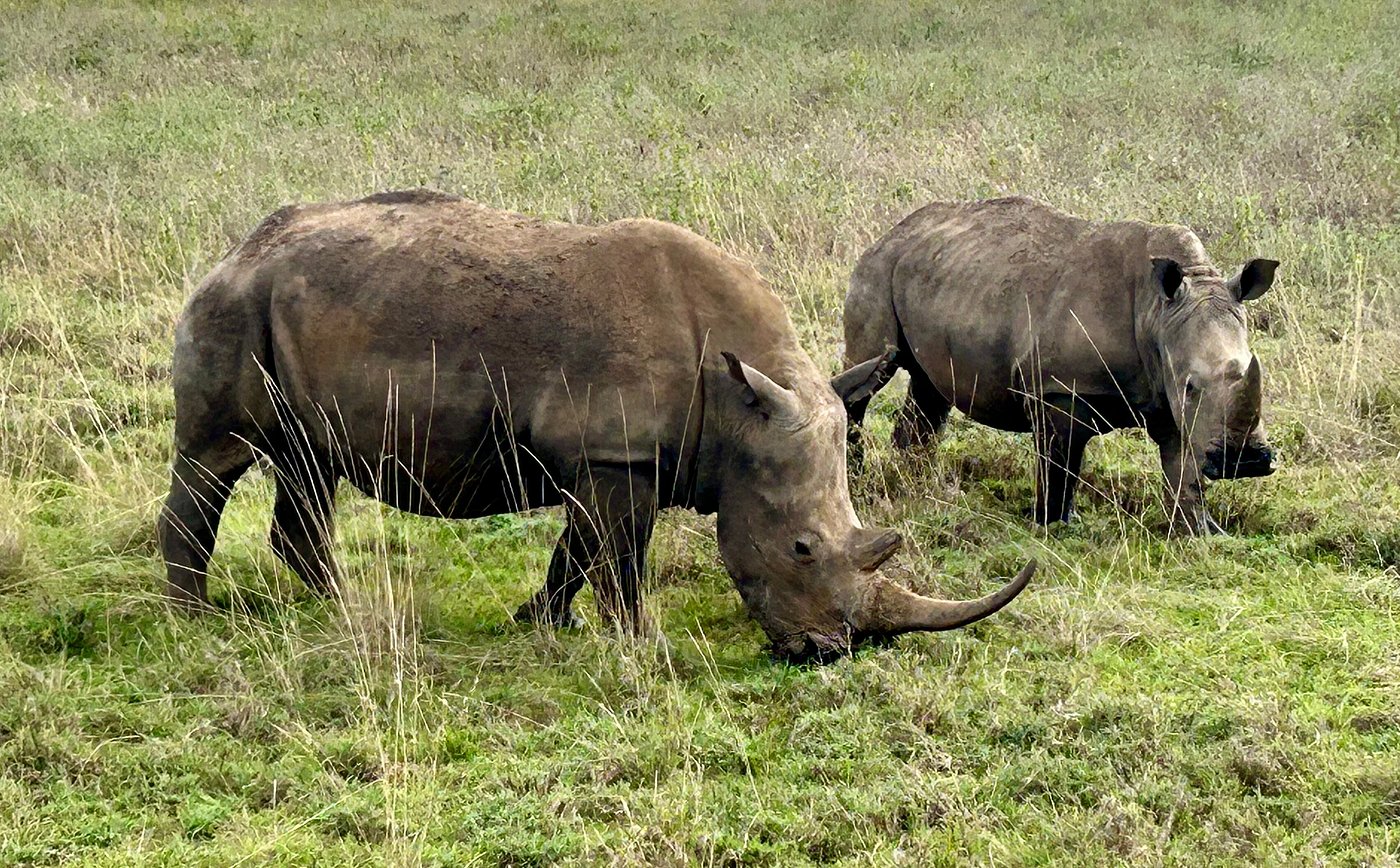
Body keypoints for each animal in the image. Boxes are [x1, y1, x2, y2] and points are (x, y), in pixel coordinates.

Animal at [159, 190, 1033, 661]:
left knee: (308, 465)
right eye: (802, 549)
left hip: (284, 317)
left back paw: (344, 611)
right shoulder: (618, 452)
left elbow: (576, 548)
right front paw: (637, 642)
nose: (827, 653)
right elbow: (618, 553)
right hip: (232, 310)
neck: (740, 404)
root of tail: (236, 252)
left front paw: (543, 622)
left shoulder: (610, 457)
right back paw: (195, 622)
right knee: (215, 459)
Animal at [844, 196, 1278, 534]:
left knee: (929, 388)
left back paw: (917, 485)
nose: (1246, 461)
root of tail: (896, 229)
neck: (1158, 312)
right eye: (1191, 386)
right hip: (876, 268)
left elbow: (1183, 469)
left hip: (936, 274)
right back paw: (855, 479)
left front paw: (1202, 532)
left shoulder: (1166, 389)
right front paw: (1053, 525)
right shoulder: (1059, 388)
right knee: (868, 376)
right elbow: (1060, 464)